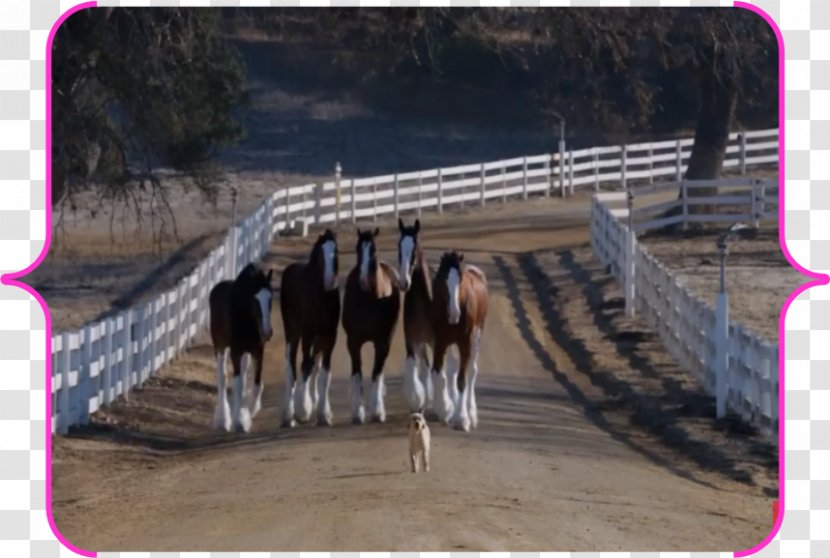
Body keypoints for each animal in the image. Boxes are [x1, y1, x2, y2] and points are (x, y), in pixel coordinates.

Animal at [210, 264, 274, 436]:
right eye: (255, 299)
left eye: (270, 298)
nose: (267, 332)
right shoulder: (236, 351)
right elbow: (237, 384)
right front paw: (238, 422)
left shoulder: (258, 350)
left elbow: (256, 384)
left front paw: (248, 413)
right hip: (220, 346)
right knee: (222, 378)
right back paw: (222, 421)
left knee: (244, 377)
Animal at [282, 228, 342, 428]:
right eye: (321, 254)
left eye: (336, 251)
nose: (331, 280)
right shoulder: (307, 335)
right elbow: (305, 367)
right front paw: (302, 411)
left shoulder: (329, 337)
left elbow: (324, 373)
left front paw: (324, 414)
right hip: (292, 334)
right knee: (292, 367)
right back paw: (288, 415)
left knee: (314, 366)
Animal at [340, 228, 402, 424]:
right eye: (357, 249)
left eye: (374, 249)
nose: (363, 280)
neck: (369, 300)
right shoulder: (353, 342)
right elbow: (357, 373)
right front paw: (358, 412)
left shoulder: (383, 343)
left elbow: (376, 373)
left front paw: (377, 411)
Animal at [432, 253, 484, 434]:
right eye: (442, 279)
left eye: (461, 280)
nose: (454, 314)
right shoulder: (440, 342)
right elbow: (439, 375)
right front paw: (445, 411)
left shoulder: (465, 343)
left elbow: (462, 380)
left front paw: (462, 419)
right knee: (452, 370)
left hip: (476, 337)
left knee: (472, 371)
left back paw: (472, 414)